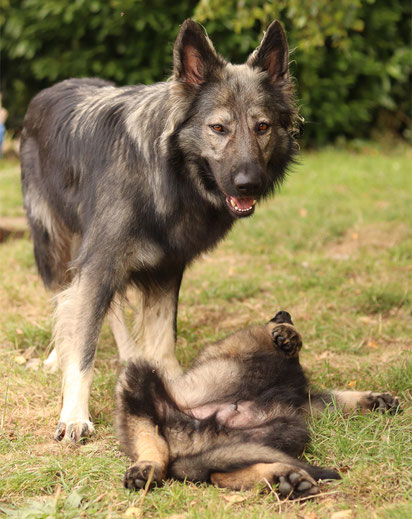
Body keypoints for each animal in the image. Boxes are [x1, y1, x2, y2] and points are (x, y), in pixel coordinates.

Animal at [20, 20, 296, 442]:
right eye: (219, 128)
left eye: (262, 127)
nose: (249, 185)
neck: (166, 174)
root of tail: (50, 90)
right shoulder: (100, 263)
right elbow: (82, 342)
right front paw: (74, 414)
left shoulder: (166, 267)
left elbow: (163, 337)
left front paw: (175, 387)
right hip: (55, 246)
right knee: (64, 298)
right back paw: (57, 356)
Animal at [115, 310, 400, 498]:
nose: (283, 314)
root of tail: (187, 439)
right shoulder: (243, 342)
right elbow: (270, 334)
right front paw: (288, 334)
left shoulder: (303, 403)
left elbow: (336, 401)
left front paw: (376, 401)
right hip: (136, 377)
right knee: (151, 441)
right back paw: (146, 468)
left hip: (278, 432)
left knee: (219, 473)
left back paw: (286, 479)